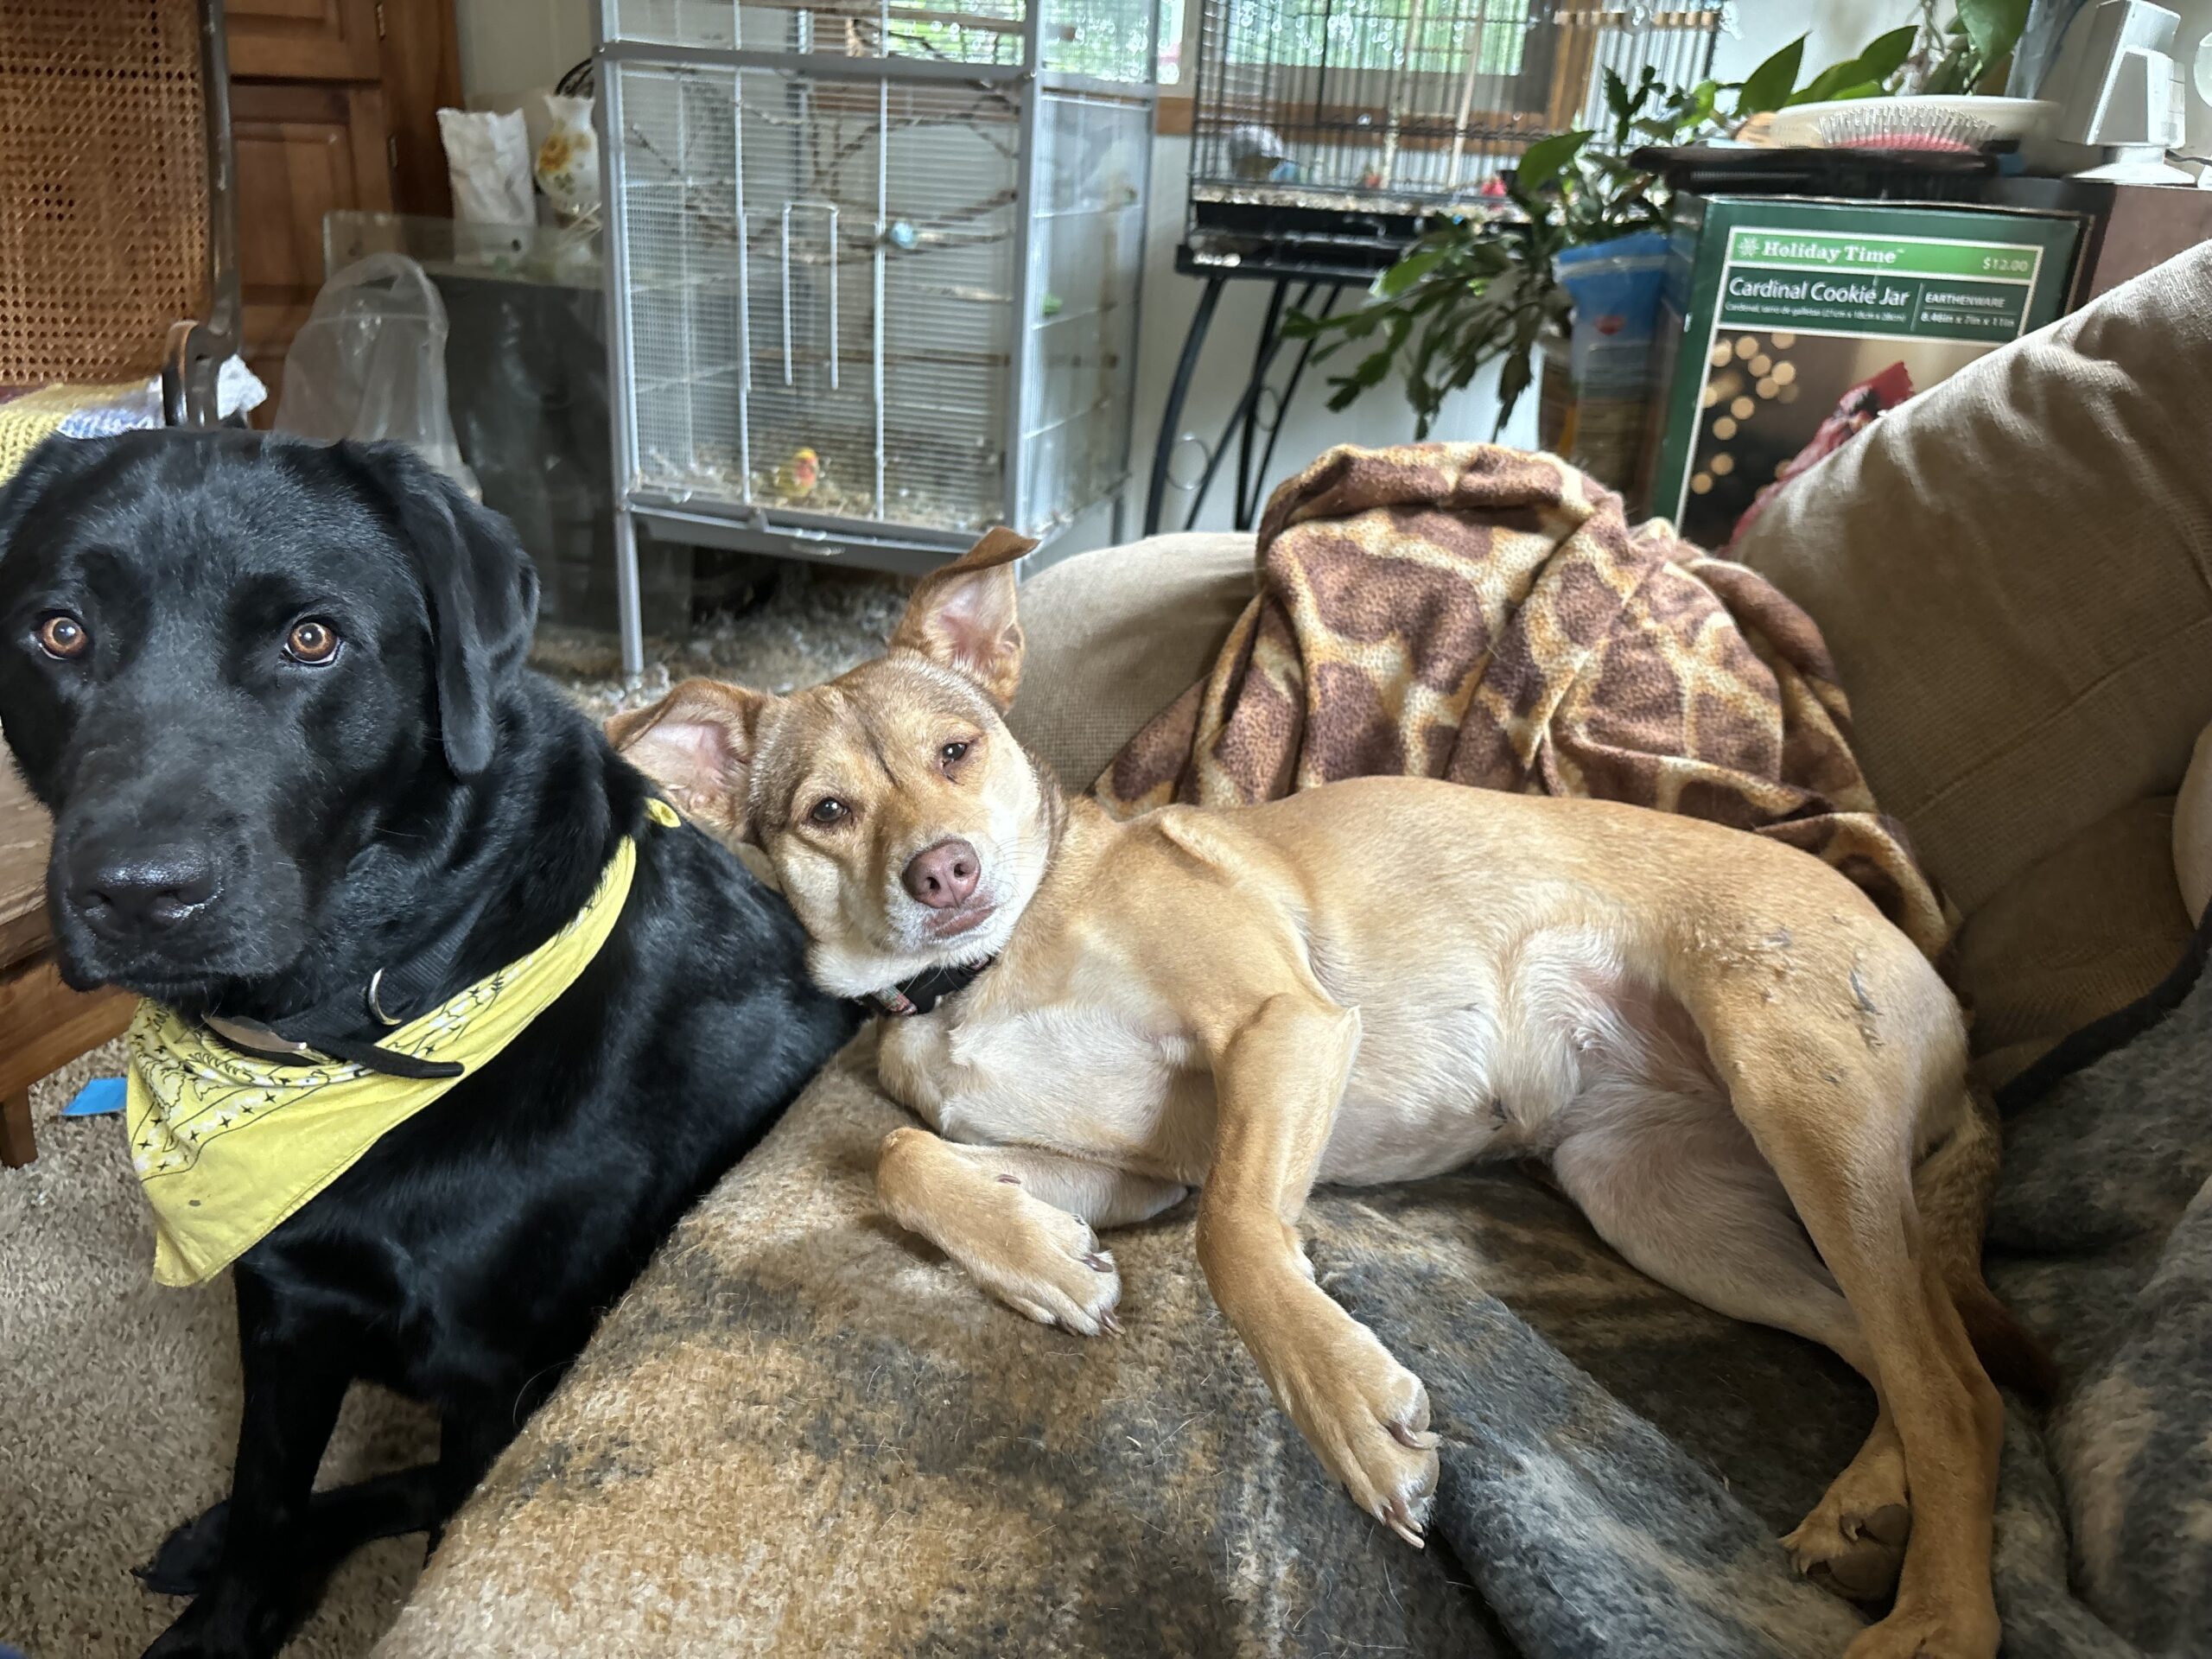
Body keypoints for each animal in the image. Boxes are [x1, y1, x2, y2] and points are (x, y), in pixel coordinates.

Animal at [0, 431, 858, 1659]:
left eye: (312, 639)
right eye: (59, 631)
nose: (139, 894)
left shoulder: (494, 1371)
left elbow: (440, 1516)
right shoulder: (283, 1306)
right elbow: (264, 1492)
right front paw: (231, 1612)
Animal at [608, 528, 2042, 1659]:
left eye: (959, 750)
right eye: (826, 813)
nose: (945, 873)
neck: (987, 969)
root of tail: (1941, 983)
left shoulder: (1281, 1029)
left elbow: (1244, 1240)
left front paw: (1350, 1414)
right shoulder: (1135, 1172)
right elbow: (906, 1163)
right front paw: (1048, 1266)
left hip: (1792, 1085)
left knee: (1954, 1378)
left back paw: (1936, 1616)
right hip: (1661, 1203)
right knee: (1898, 1344)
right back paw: (1870, 1506)